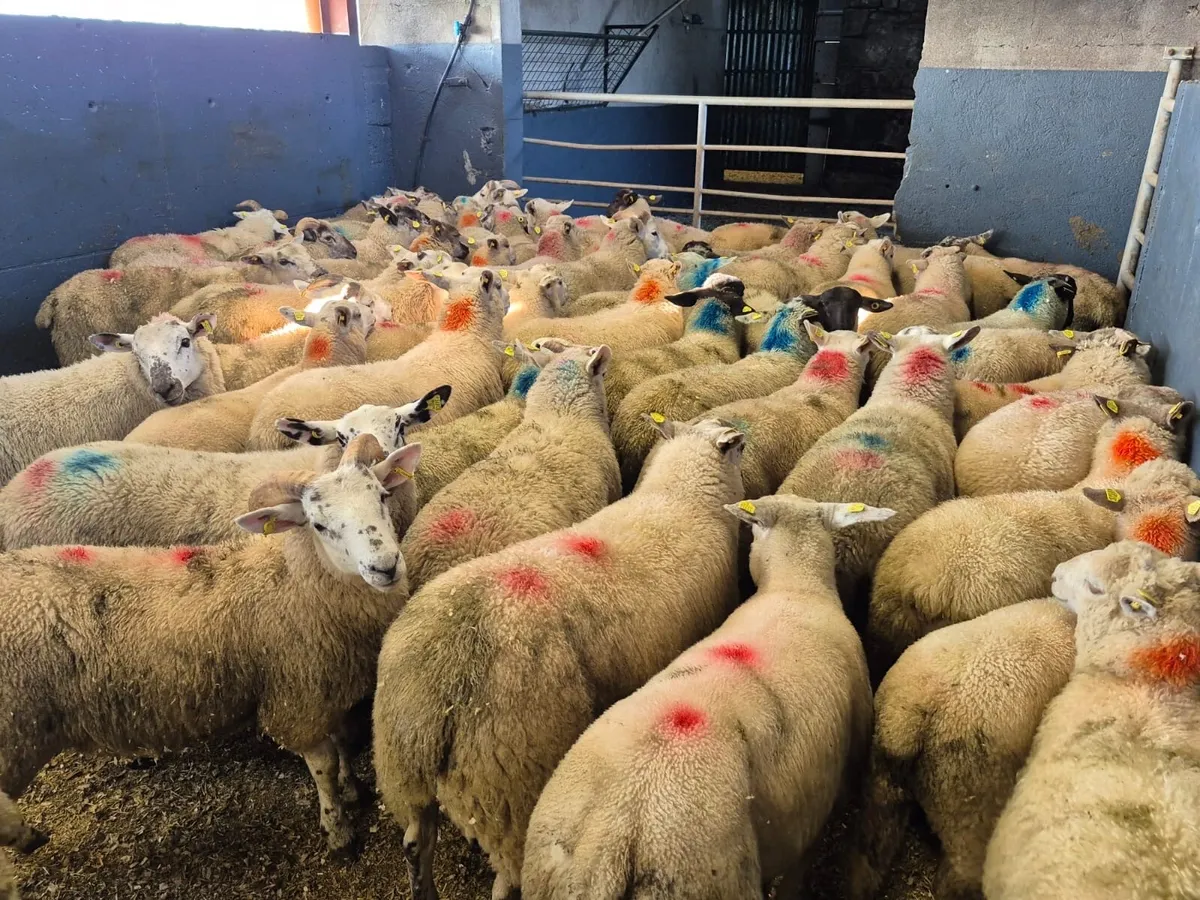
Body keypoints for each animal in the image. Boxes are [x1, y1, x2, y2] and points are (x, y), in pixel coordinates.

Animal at [0, 435, 419, 855]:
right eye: (319, 524)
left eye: (382, 496)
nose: (385, 566)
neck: (294, 578)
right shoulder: (296, 699)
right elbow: (324, 767)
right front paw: (338, 829)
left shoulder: (331, 688)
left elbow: (346, 744)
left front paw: (354, 789)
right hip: (15, 734)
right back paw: (27, 834)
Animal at [373, 417, 746, 900]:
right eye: (736, 448)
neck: (681, 495)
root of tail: (436, 689)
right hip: (510, 788)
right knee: (504, 879)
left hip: (404, 775)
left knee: (415, 843)